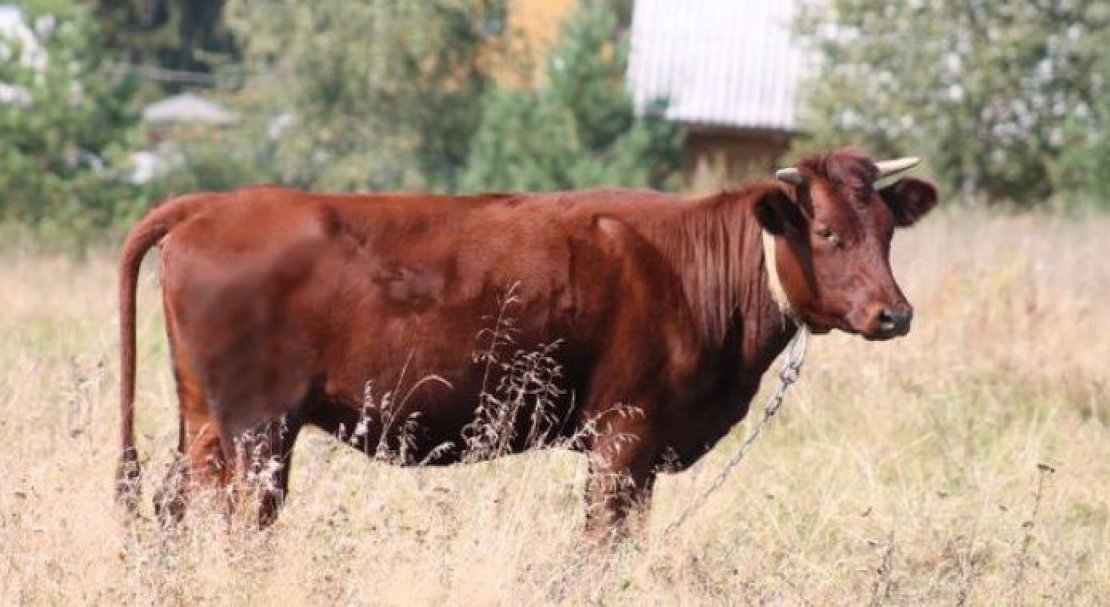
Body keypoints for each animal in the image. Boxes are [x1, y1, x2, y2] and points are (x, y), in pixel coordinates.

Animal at [119, 149, 936, 534]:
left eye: (888, 229)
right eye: (826, 231)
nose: (894, 314)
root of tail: (215, 204)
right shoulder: (623, 439)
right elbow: (600, 543)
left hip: (204, 422)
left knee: (172, 505)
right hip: (260, 429)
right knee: (243, 524)